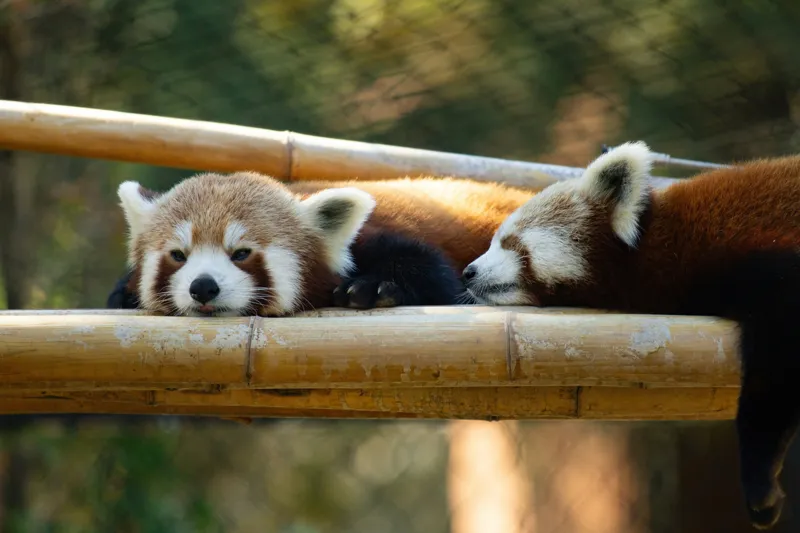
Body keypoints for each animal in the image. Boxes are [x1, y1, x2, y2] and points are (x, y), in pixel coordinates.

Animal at [106, 170, 537, 317]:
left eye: (241, 254)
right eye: (178, 256)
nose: (203, 287)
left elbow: (438, 277)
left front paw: (372, 287)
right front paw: (124, 294)